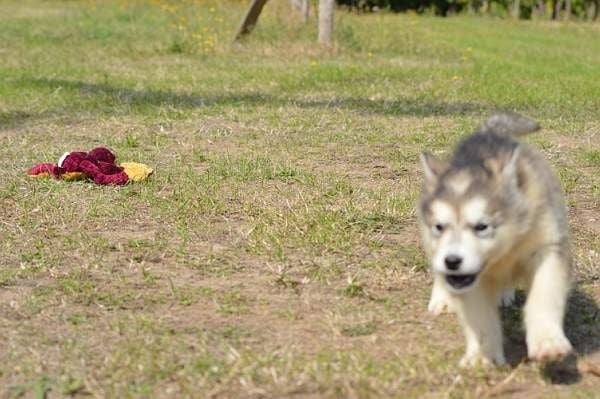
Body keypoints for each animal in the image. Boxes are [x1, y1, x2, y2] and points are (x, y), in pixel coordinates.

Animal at [418, 114, 572, 368]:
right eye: (439, 227)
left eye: (482, 226)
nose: (452, 261)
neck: (505, 250)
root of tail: (489, 133)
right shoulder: (468, 281)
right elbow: (480, 319)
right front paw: (482, 356)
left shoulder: (547, 248)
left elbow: (544, 296)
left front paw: (548, 342)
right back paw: (442, 297)